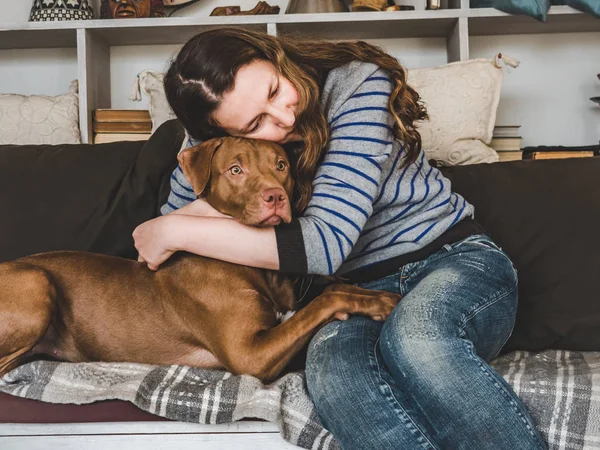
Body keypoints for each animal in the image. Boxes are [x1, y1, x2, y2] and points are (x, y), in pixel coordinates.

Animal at [2, 136, 400, 380]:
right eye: (236, 169)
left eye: (281, 166)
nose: (275, 197)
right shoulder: (249, 354)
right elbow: (323, 301)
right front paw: (376, 302)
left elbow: (327, 289)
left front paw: (370, 294)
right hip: (36, 281)